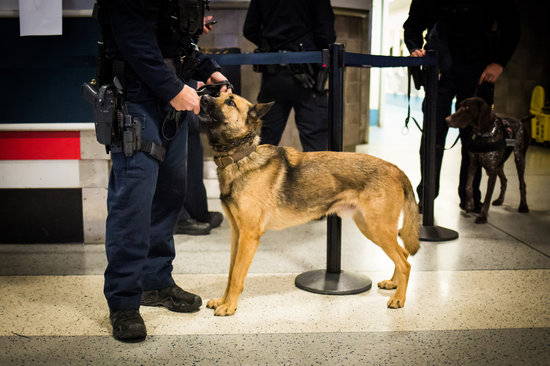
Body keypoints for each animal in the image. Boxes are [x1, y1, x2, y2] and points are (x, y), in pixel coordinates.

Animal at [201, 93, 420, 316]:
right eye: (218, 95)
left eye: (230, 101)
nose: (204, 96)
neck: (241, 157)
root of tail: (395, 169)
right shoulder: (237, 235)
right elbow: (231, 273)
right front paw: (223, 301)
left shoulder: (248, 236)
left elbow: (237, 275)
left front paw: (229, 306)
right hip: (369, 227)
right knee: (402, 254)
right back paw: (393, 284)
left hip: (377, 228)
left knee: (405, 263)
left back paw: (399, 298)